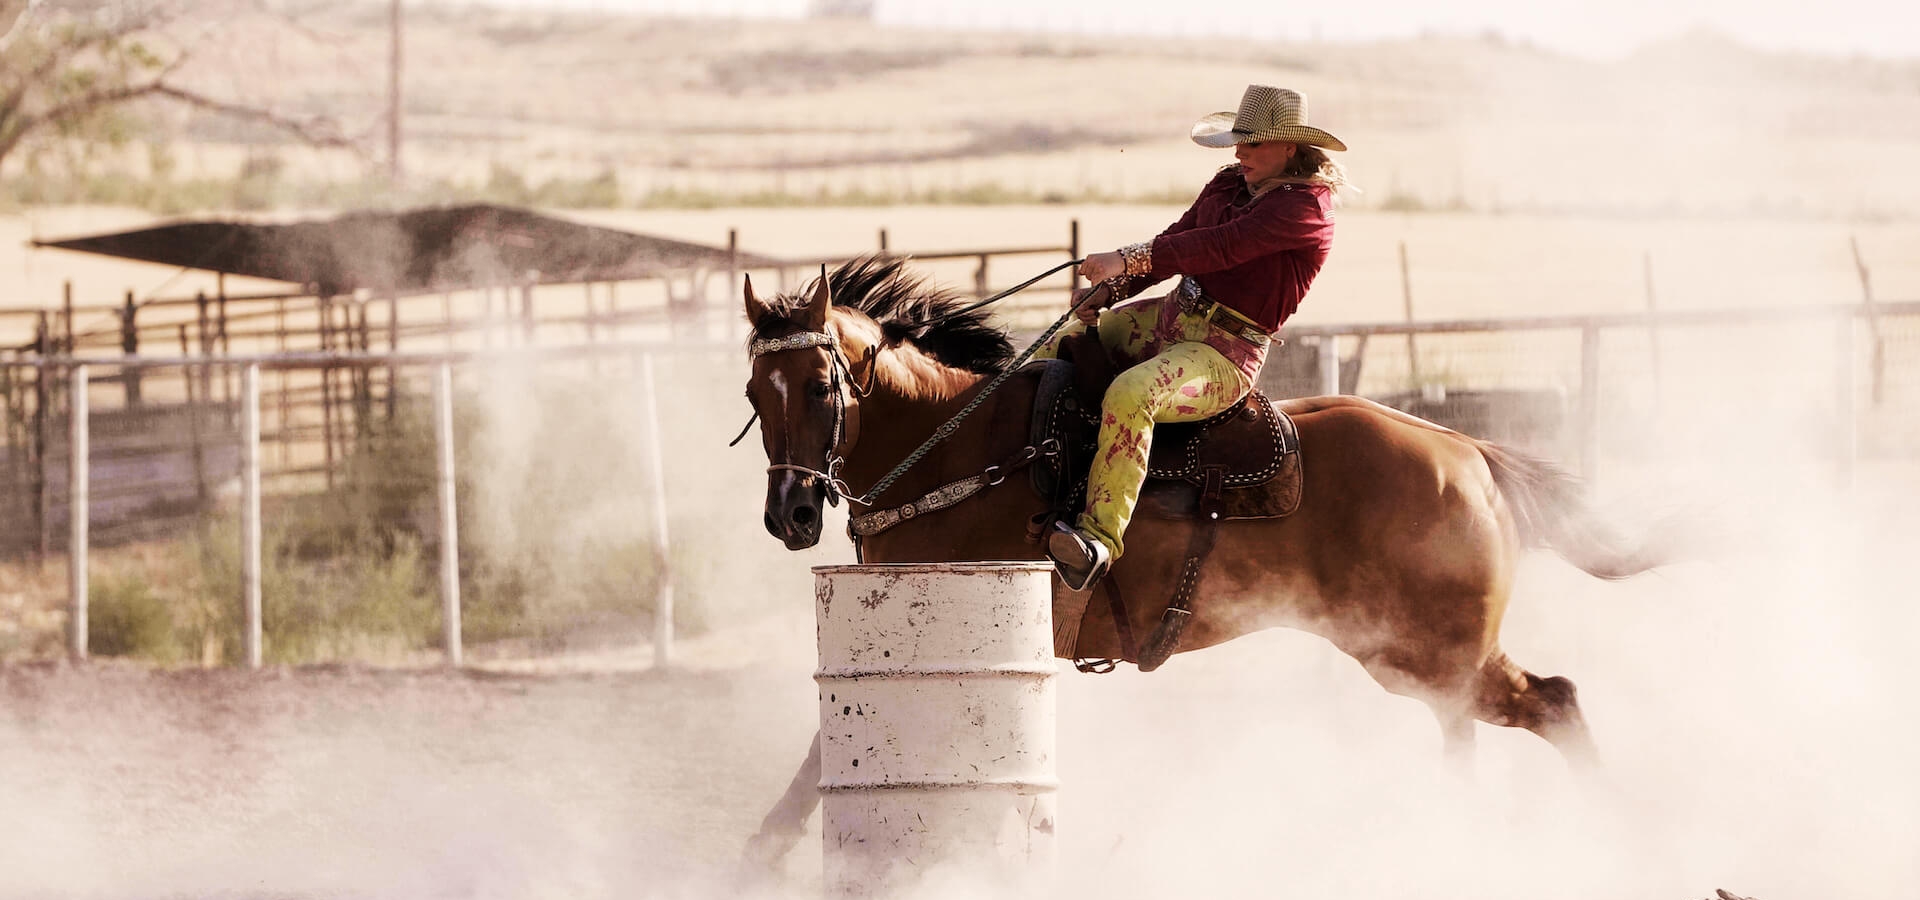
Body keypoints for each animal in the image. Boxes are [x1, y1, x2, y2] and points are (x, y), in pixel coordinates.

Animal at [741, 255, 1674, 859]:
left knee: (1553, 703)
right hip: (1423, 656)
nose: (790, 514)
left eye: (820, 387)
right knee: (1499, 720)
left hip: (1432, 650)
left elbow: (819, 761)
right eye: (754, 392)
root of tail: (1465, 451)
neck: (958, 448)